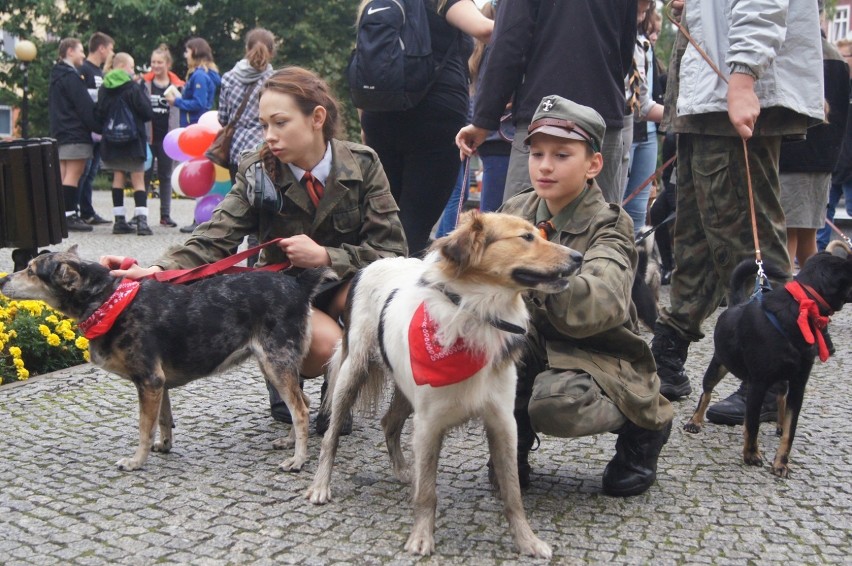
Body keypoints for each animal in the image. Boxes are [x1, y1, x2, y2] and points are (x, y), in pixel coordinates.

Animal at [302, 212, 584, 560]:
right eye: (526, 237)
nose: (579, 257)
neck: (477, 314)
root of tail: (374, 263)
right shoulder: (429, 423)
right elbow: (427, 492)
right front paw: (421, 537)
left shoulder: (503, 421)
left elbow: (513, 491)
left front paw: (527, 540)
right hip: (352, 371)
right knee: (331, 436)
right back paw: (320, 485)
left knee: (389, 422)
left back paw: (402, 470)